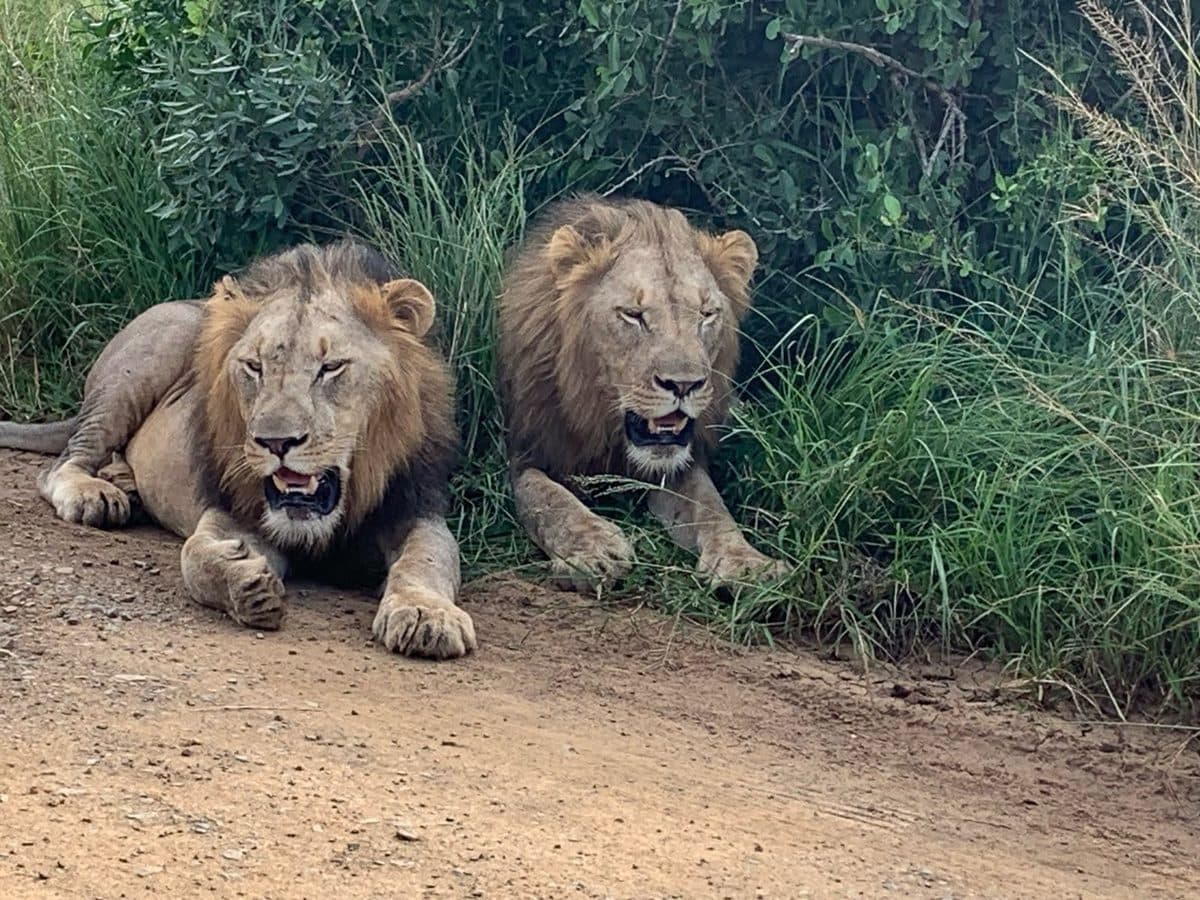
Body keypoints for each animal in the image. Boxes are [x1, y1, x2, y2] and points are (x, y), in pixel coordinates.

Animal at [0, 240, 475, 659]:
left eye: (330, 367)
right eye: (254, 367)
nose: (276, 442)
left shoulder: (417, 508)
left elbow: (426, 560)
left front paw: (425, 616)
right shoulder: (235, 510)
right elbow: (194, 555)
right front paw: (245, 583)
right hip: (146, 361)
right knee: (65, 460)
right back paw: (94, 494)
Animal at [497, 195, 787, 590]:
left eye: (707, 314)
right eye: (633, 315)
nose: (684, 385)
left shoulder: (681, 465)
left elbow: (711, 507)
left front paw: (745, 563)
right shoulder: (529, 448)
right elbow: (547, 499)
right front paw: (594, 551)